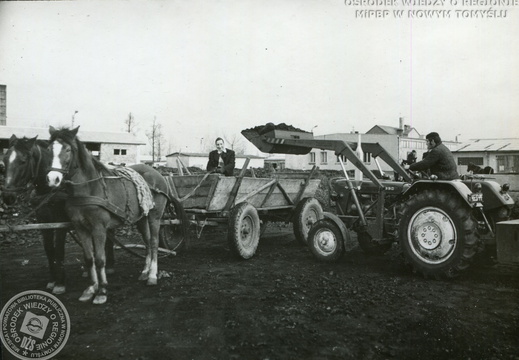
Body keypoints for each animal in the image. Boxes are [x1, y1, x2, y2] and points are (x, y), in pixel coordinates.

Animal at [1, 134, 116, 294]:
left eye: (23, 161)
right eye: (5, 160)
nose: (7, 196)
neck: (49, 190)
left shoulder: (60, 223)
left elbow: (59, 251)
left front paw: (60, 283)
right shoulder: (43, 222)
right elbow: (49, 250)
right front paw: (53, 279)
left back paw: (110, 265)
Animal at [46, 126, 169, 304]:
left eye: (68, 149)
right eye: (49, 149)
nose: (52, 178)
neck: (89, 188)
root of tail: (156, 173)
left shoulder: (99, 228)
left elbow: (100, 259)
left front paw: (102, 291)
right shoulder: (80, 228)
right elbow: (89, 258)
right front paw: (91, 289)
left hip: (155, 216)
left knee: (153, 242)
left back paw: (152, 275)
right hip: (141, 218)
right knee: (146, 241)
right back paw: (145, 272)